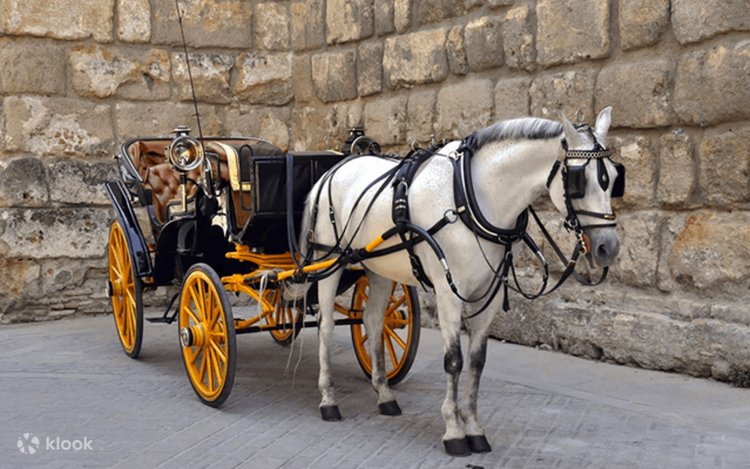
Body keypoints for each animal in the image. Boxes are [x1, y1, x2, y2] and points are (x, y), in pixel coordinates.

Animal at [296, 107, 622, 456]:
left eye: (615, 178)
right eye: (578, 181)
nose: (608, 247)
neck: (470, 196)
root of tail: (334, 169)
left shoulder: (490, 296)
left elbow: (477, 362)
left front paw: (474, 427)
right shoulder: (448, 293)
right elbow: (453, 360)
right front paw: (453, 430)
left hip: (379, 267)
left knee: (372, 322)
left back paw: (384, 395)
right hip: (329, 260)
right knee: (326, 327)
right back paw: (328, 399)